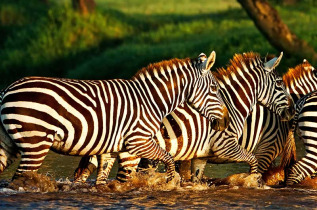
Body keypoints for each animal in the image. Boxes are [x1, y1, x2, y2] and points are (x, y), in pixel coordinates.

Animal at [0, 51, 230, 181]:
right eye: (215, 88)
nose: (226, 121)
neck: (151, 100)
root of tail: (7, 90)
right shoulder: (138, 142)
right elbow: (169, 159)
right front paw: (171, 182)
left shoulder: (112, 148)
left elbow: (104, 181)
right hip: (35, 143)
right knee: (19, 180)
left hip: (8, 143)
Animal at [72, 51, 294, 184]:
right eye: (279, 84)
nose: (292, 112)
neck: (233, 104)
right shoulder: (226, 146)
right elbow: (253, 161)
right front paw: (251, 182)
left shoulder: (201, 155)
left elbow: (195, 180)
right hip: (131, 155)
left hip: (105, 150)